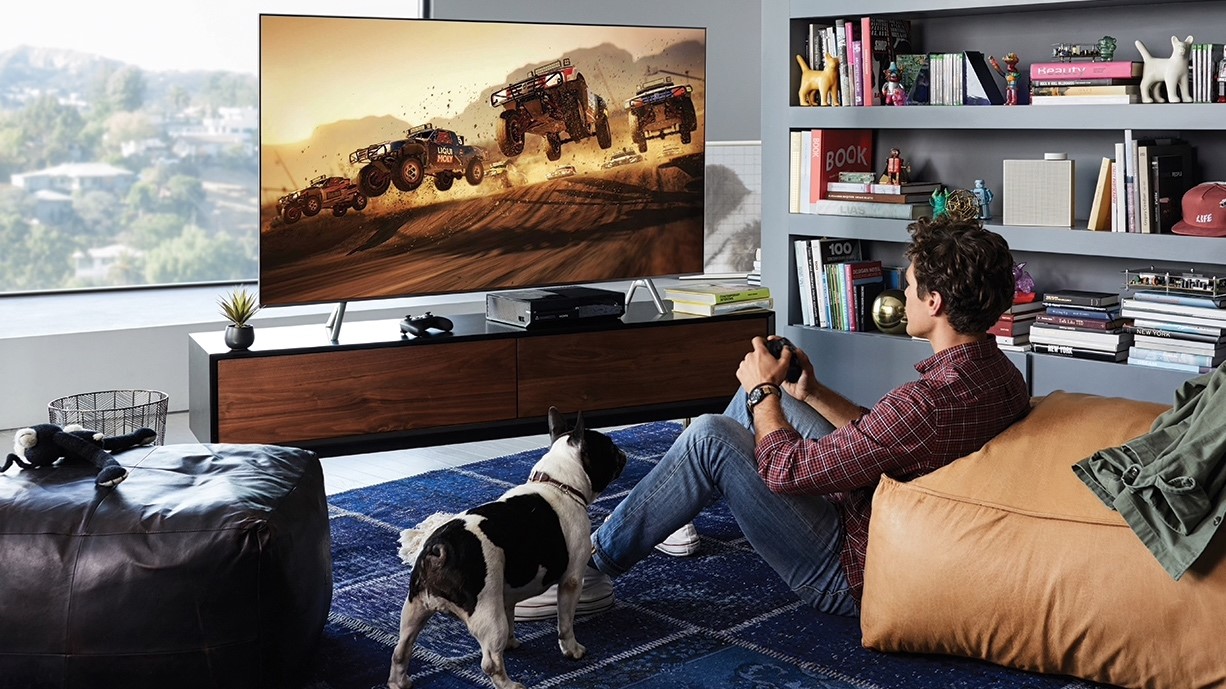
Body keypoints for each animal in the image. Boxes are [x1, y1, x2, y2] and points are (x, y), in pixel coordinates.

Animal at [387, 404, 627, 686]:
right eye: (609, 448)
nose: (622, 452)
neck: (559, 484)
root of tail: (439, 549)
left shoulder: (506, 594)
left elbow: (511, 615)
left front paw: (512, 642)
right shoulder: (571, 581)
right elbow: (565, 623)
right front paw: (572, 650)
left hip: (414, 609)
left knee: (401, 650)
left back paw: (399, 682)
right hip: (487, 617)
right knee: (490, 662)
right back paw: (510, 685)